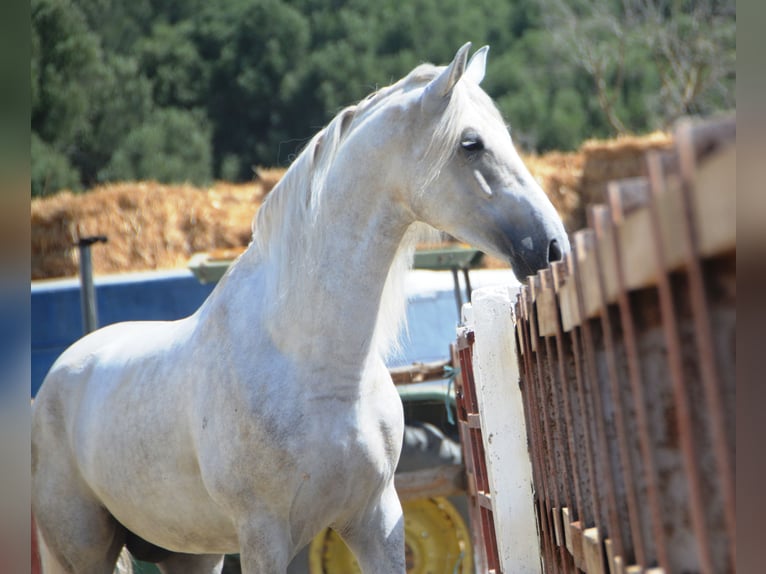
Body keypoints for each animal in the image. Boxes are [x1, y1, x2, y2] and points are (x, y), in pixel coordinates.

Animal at [30, 45, 568, 574]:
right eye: (471, 143)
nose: (553, 246)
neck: (317, 371)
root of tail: (56, 378)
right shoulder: (264, 537)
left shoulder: (377, 519)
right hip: (81, 550)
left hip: (191, 554)